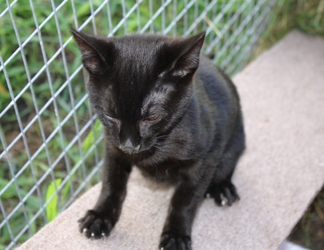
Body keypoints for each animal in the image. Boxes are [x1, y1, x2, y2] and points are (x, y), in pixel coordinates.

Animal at [73, 29, 246, 250]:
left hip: (234, 140)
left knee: (228, 163)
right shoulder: (113, 147)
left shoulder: (206, 156)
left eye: (152, 117)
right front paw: (100, 216)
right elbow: (111, 182)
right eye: (111, 115)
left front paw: (175, 236)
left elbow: (185, 200)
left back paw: (222, 187)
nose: (129, 145)